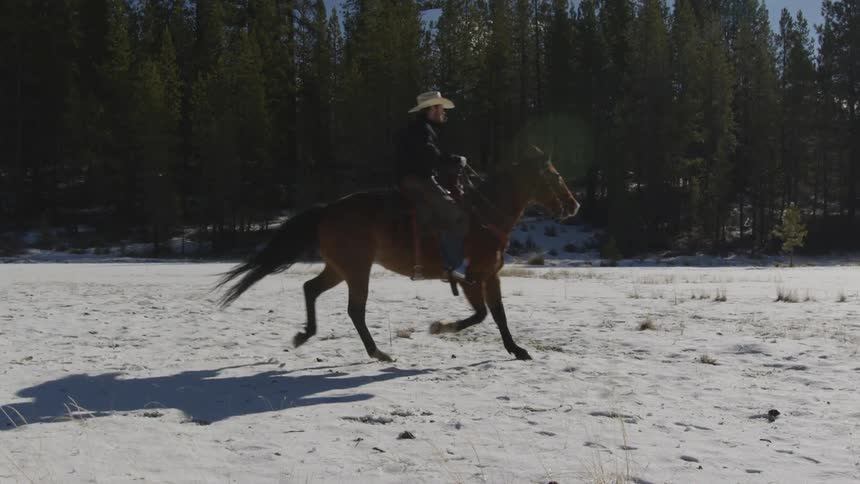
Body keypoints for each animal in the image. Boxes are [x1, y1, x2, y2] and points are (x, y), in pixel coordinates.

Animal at [216, 146, 580, 362]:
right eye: (555, 176)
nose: (574, 206)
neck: (485, 216)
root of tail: (328, 209)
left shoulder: (491, 276)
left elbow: (499, 315)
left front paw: (516, 349)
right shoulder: (471, 278)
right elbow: (481, 315)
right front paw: (440, 327)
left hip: (339, 268)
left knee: (311, 289)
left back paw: (305, 334)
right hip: (357, 270)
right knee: (355, 310)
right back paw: (377, 352)